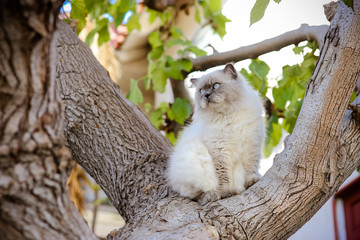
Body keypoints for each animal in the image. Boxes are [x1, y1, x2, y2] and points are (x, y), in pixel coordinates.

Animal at [168, 62, 264, 204]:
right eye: (201, 91)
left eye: (216, 86)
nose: (206, 95)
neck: (228, 114)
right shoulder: (220, 149)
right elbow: (223, 175)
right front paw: (225, 192)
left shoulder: (252, 144)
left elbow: (251, 167)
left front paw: (251, 181)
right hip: (196, 165)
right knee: (195, 194)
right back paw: (214, 195)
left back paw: (237, 190)